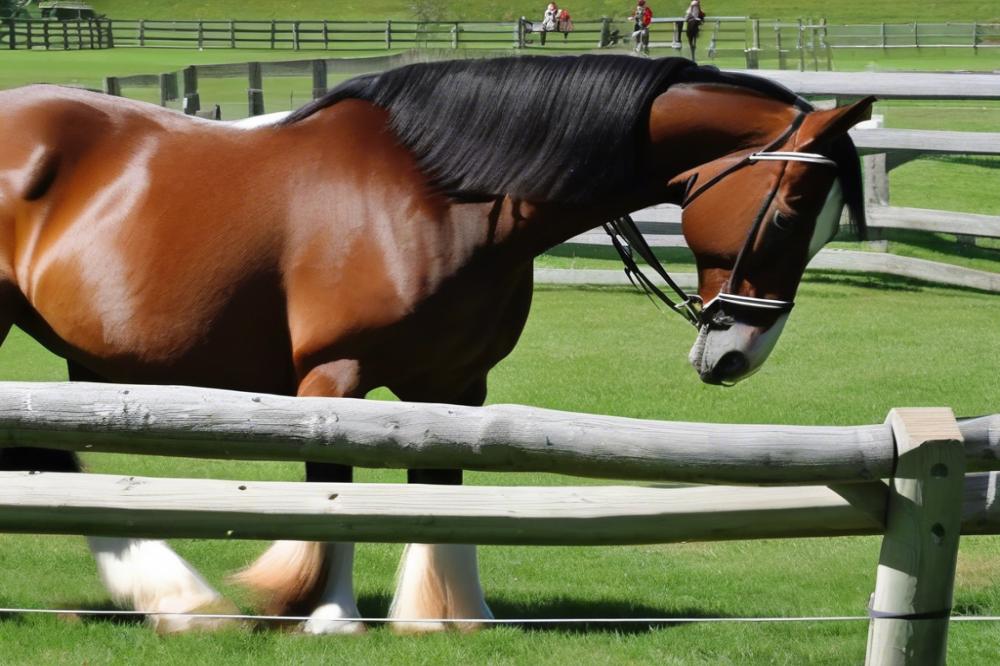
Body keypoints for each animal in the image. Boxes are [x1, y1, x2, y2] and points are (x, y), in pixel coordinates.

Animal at [0, 54, 872, 632]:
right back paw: (185, 600)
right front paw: (331, 617)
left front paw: (450, 617)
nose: (737, 351)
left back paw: (173, 598)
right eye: (791, 212)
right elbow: (337, 491)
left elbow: (444, 490)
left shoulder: (456, 386)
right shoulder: (334, 379)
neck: (438, 194)